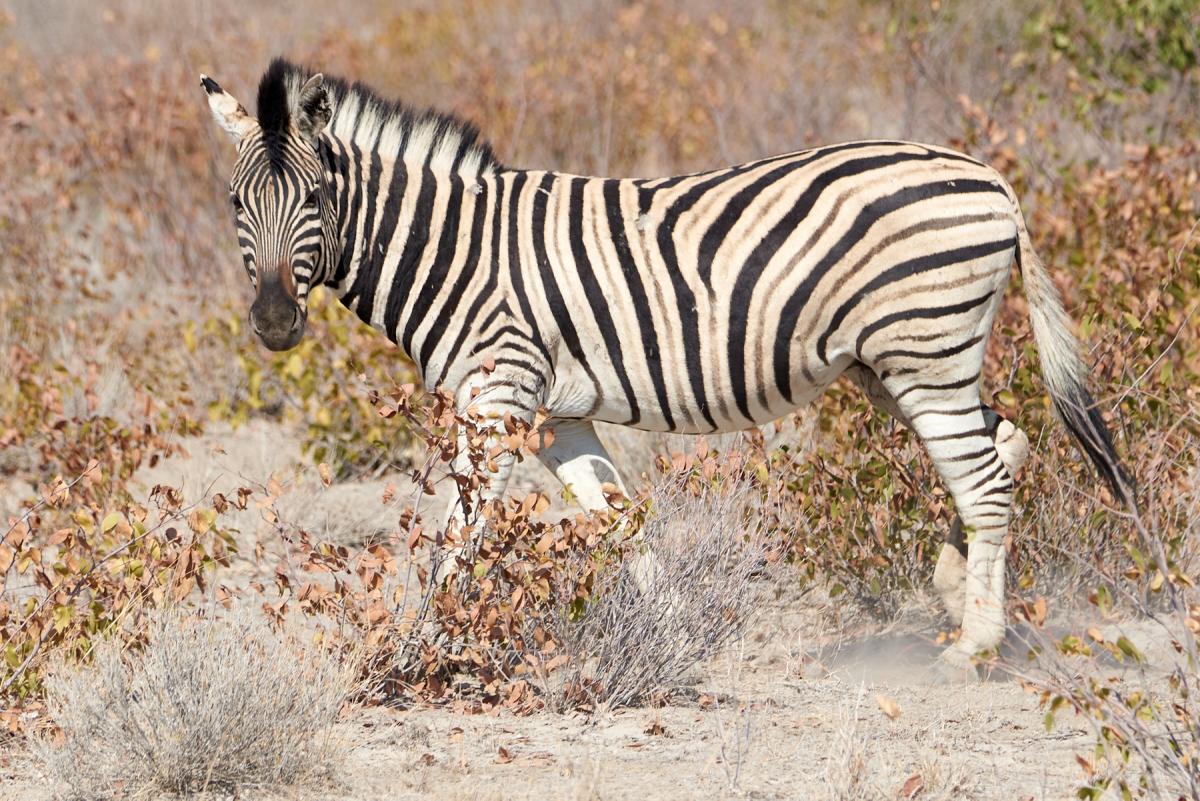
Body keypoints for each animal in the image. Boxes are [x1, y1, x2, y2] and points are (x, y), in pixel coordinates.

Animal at [201, 59, 1128, 681]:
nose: (275, 323)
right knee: (1003, 442)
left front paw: (408, 649)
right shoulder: (557, 414)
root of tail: (992, 179)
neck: (454, 250)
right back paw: (955, 591)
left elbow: (456, 537)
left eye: (316, 199)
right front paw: (677, 636)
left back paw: (974, 644)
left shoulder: (499, 394)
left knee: (984, 480)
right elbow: (621, 522)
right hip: (898, 362)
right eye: (238, 205)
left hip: (922, 351)